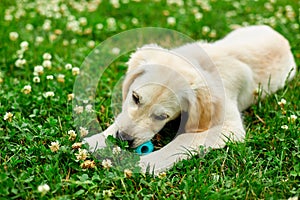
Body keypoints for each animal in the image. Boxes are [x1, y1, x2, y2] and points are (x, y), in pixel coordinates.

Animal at [84, 25, 296, 173]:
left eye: (162, 117)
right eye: (135, 98)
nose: (123, 139)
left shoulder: (229, 126)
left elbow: (182, 140)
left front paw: (141, 164)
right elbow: (120, 120)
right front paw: (95, 140)